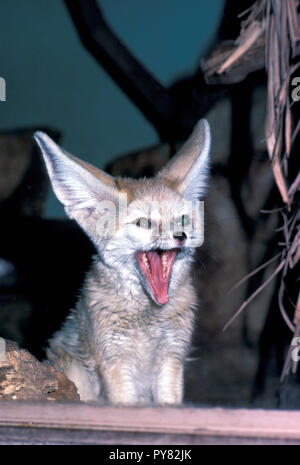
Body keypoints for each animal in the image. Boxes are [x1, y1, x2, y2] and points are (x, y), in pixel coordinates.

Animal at [34, 118, 210, 404]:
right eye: (144, 223)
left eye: (182, 220)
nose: (180, 236)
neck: (147, 316)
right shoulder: (115, 362)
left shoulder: (172, 358)